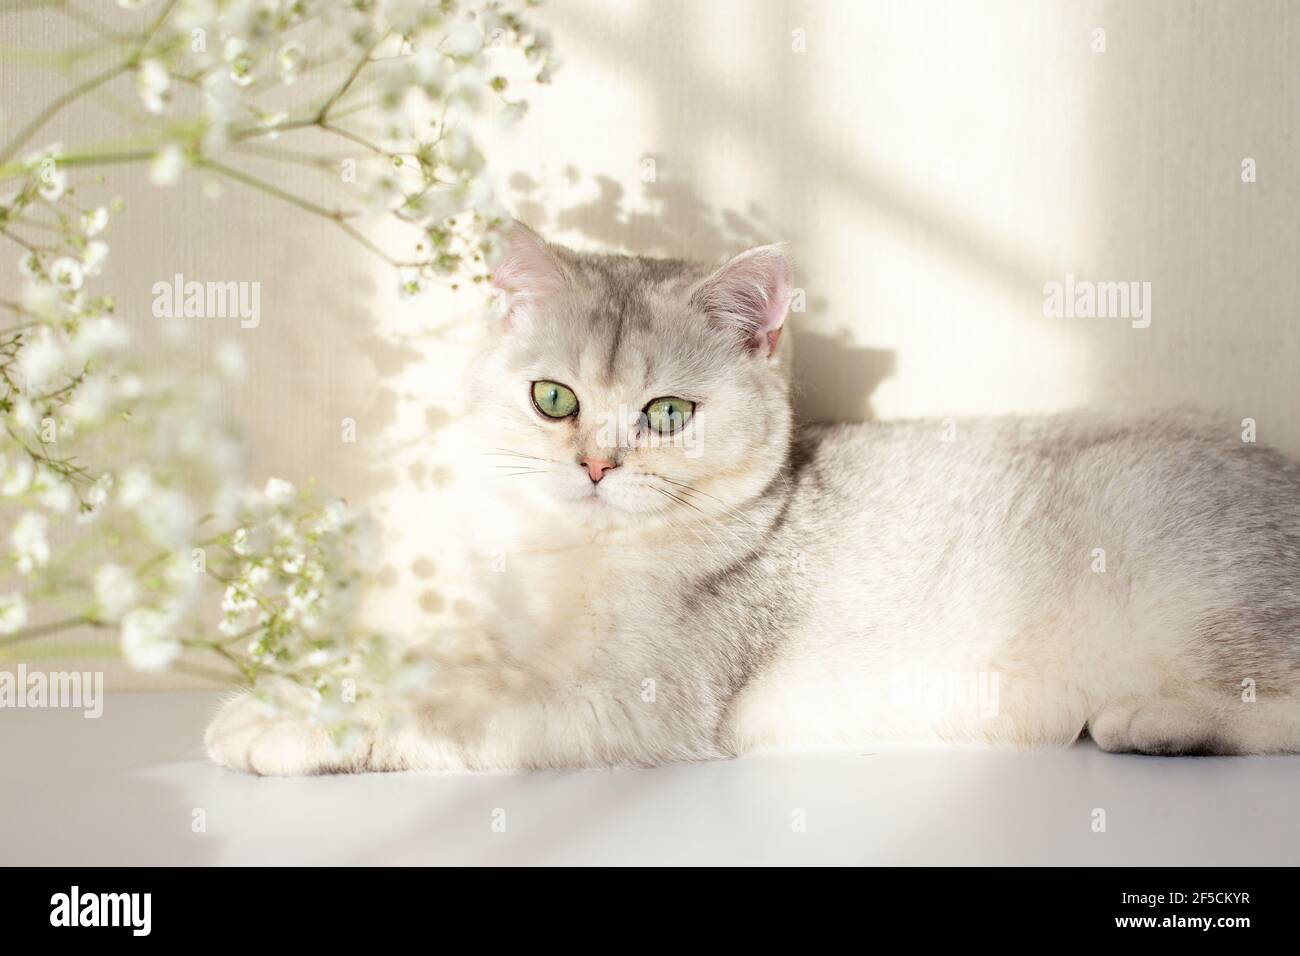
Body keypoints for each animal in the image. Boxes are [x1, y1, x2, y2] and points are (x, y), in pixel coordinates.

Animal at [205, 221, 1300, 775]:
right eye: (554, 398)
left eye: (665, 413)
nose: (596, 466)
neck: (574, 560)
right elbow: (425, 662)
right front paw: (295, 686)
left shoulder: (628, 698)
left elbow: (444, 701)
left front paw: (286, 726)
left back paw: (1158, 722)